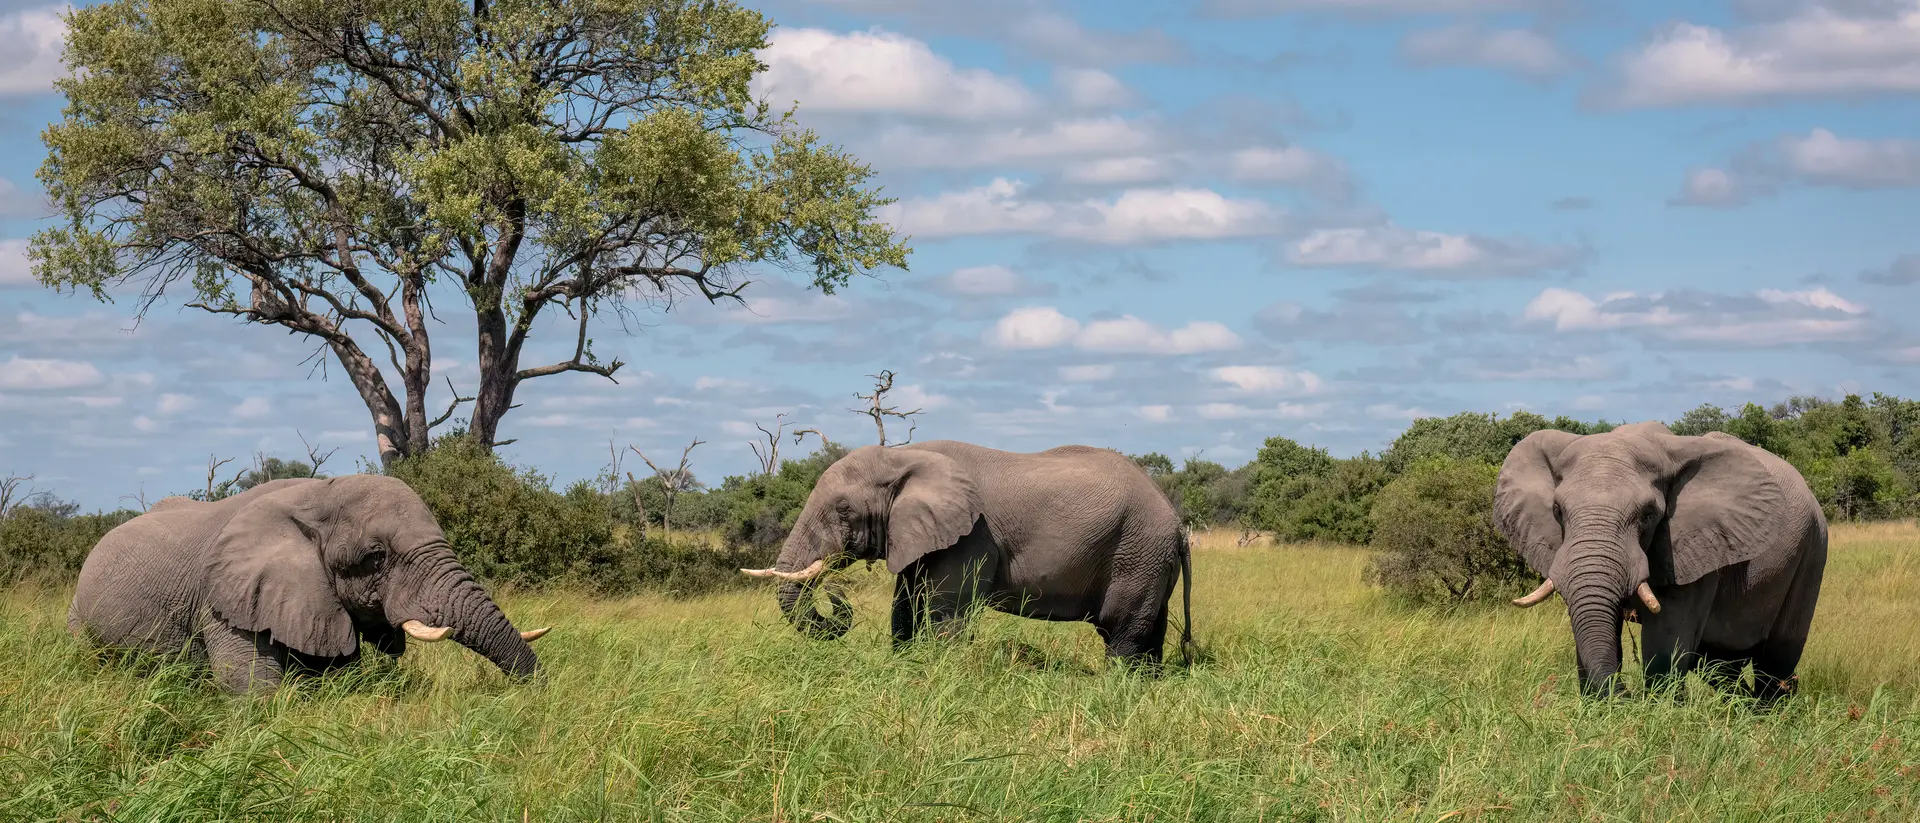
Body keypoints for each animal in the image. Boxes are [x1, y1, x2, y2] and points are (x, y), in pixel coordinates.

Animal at [740, 441, 1195, 667]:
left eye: (842, 510)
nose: (834, 592)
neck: (905, 456)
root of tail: (1177, 523)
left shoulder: (973, 534)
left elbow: (945, 611)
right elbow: (905, 603)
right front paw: (905, 669)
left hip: (1136, 552)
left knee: (1121, 632)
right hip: (1150, 559)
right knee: (1148, 630)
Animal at [1494, 421, 1827, 701]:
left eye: (1648, 515)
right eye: (1558, 511)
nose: (1624, 693)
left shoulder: (1695, 549)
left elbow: (1665, 645)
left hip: (1812, 549)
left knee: (1776, 660)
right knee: (1721, 663)